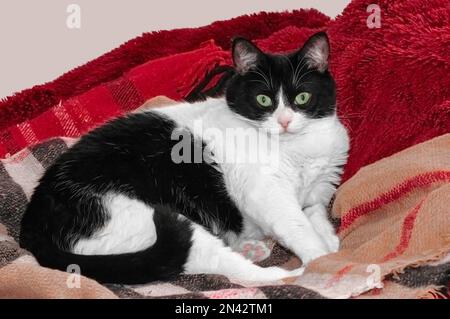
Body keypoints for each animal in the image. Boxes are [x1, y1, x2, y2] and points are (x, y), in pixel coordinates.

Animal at [19, 32, 350, 284]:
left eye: (302, 97)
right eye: (264, 99)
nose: (284, 121)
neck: (298, 147)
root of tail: (35, 221)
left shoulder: (318, 192)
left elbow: (316, 216)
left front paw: (330, 241)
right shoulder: (268, 194)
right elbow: (298, 226)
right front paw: (322, 257)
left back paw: (251, 247)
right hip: (155, 221)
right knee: (230, 268)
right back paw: (288, 270)